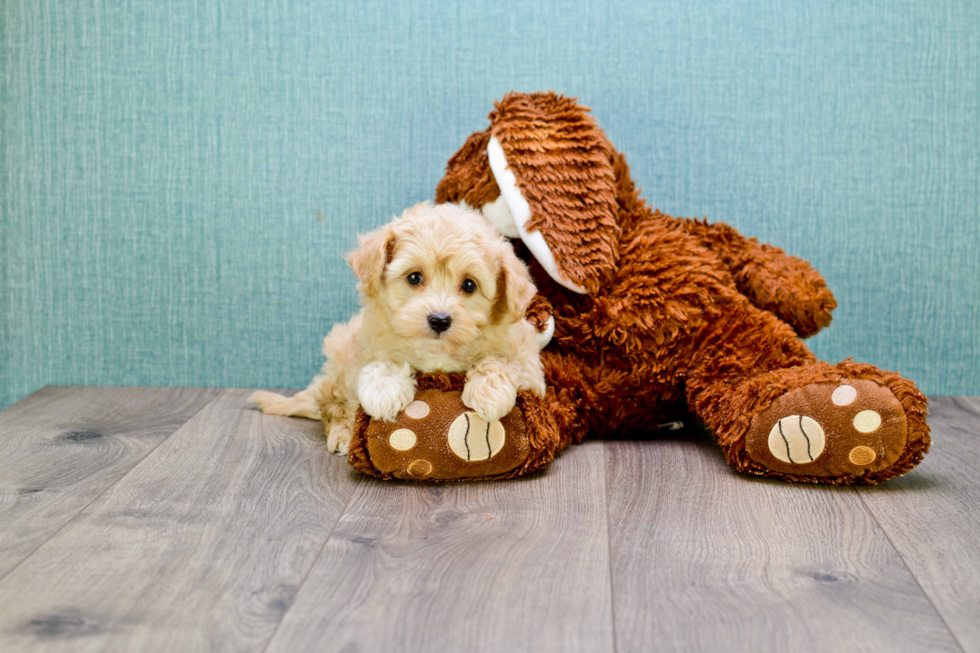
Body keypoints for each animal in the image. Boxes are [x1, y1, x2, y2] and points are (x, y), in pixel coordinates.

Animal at [249, 202, 548, 454]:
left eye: (469, 285)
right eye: (414, 277)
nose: (439, 320)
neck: (437, 353)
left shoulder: (529, 362)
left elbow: (503, 360)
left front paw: (489, 392)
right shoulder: (365, 344)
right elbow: (383, 360)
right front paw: (384, 391)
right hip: (339, 358)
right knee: (334, 409)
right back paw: (342, 434)